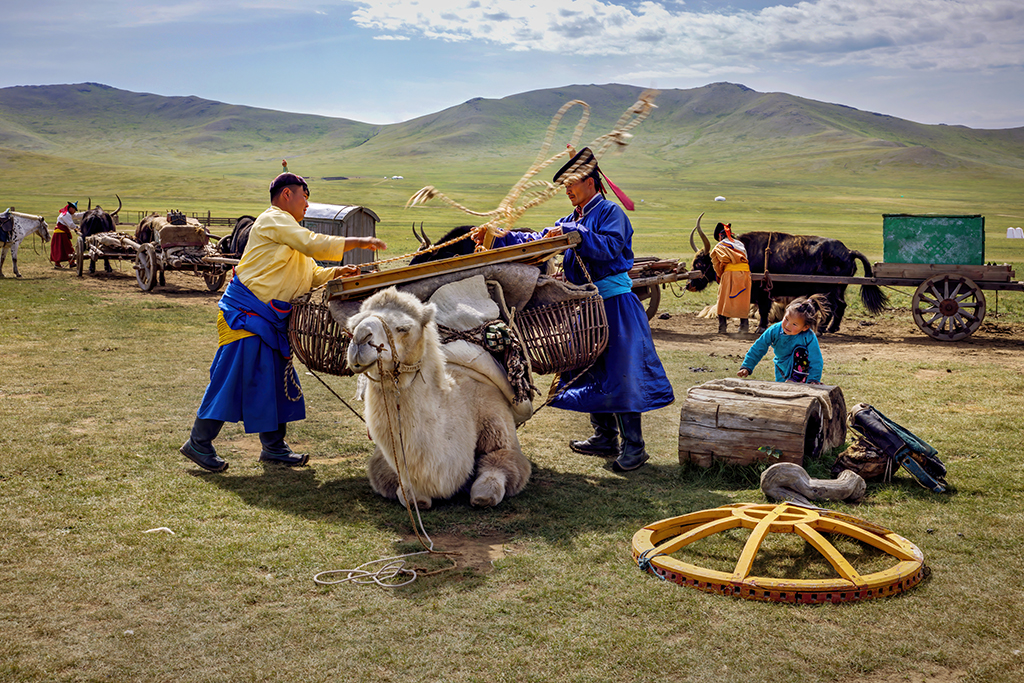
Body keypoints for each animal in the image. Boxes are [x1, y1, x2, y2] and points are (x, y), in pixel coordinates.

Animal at [348, 286, 532, 507]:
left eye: (403, 328)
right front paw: (417, 497)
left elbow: (498, 470)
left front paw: (482, 496)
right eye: (352, 325)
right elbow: (402, 488)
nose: (360, 339)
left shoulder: (498, 426)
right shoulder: (385, 459)